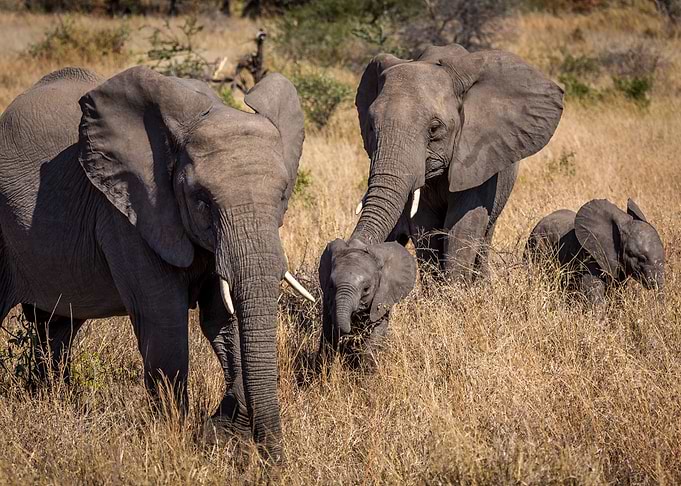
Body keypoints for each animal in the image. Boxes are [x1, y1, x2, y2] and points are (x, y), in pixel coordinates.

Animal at [0, 66, 315, 461]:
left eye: (283, 195)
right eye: (202, 201)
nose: (273, 461)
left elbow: (222, 319)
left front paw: (218, 434)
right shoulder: (128, 214)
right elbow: (164, 318)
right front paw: (174, 437)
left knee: (56, 326)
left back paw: (52, 399)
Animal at [317, 239, 416, 371]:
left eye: (366, 289)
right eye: (331, 286)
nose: (350, 335)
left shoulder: (383, 299)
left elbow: (375, 334)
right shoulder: (327, 300)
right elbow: (328, 338)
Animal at [352, 43, 564, 281]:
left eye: (434, 128)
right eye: (371, 126)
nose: (352, 249)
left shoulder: (479, 155)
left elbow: (464, 223)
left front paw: (455, 289)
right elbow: (425, 225)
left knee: (485, 234)